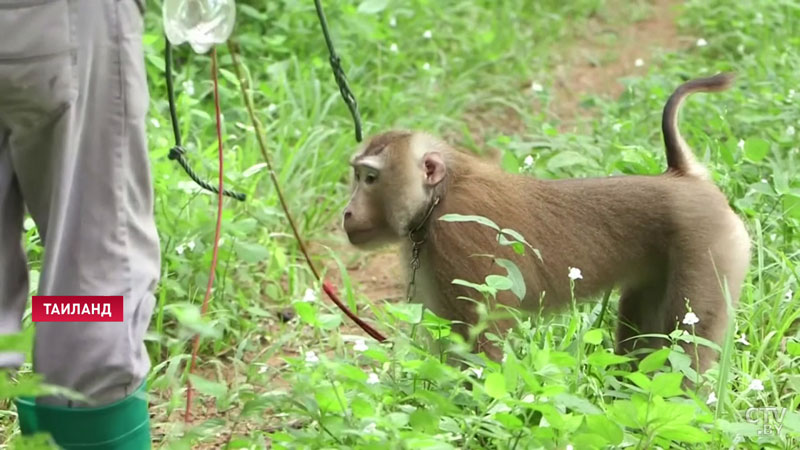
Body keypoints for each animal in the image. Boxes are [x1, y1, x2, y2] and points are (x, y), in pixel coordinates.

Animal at [342, 74, 752, 376]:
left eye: (370, 179)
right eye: (357, 176)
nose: (346, 212)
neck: (439, 196)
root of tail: (684, 178)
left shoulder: (460, 237)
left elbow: (487, 338)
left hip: (709, 248)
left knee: (687, 345)